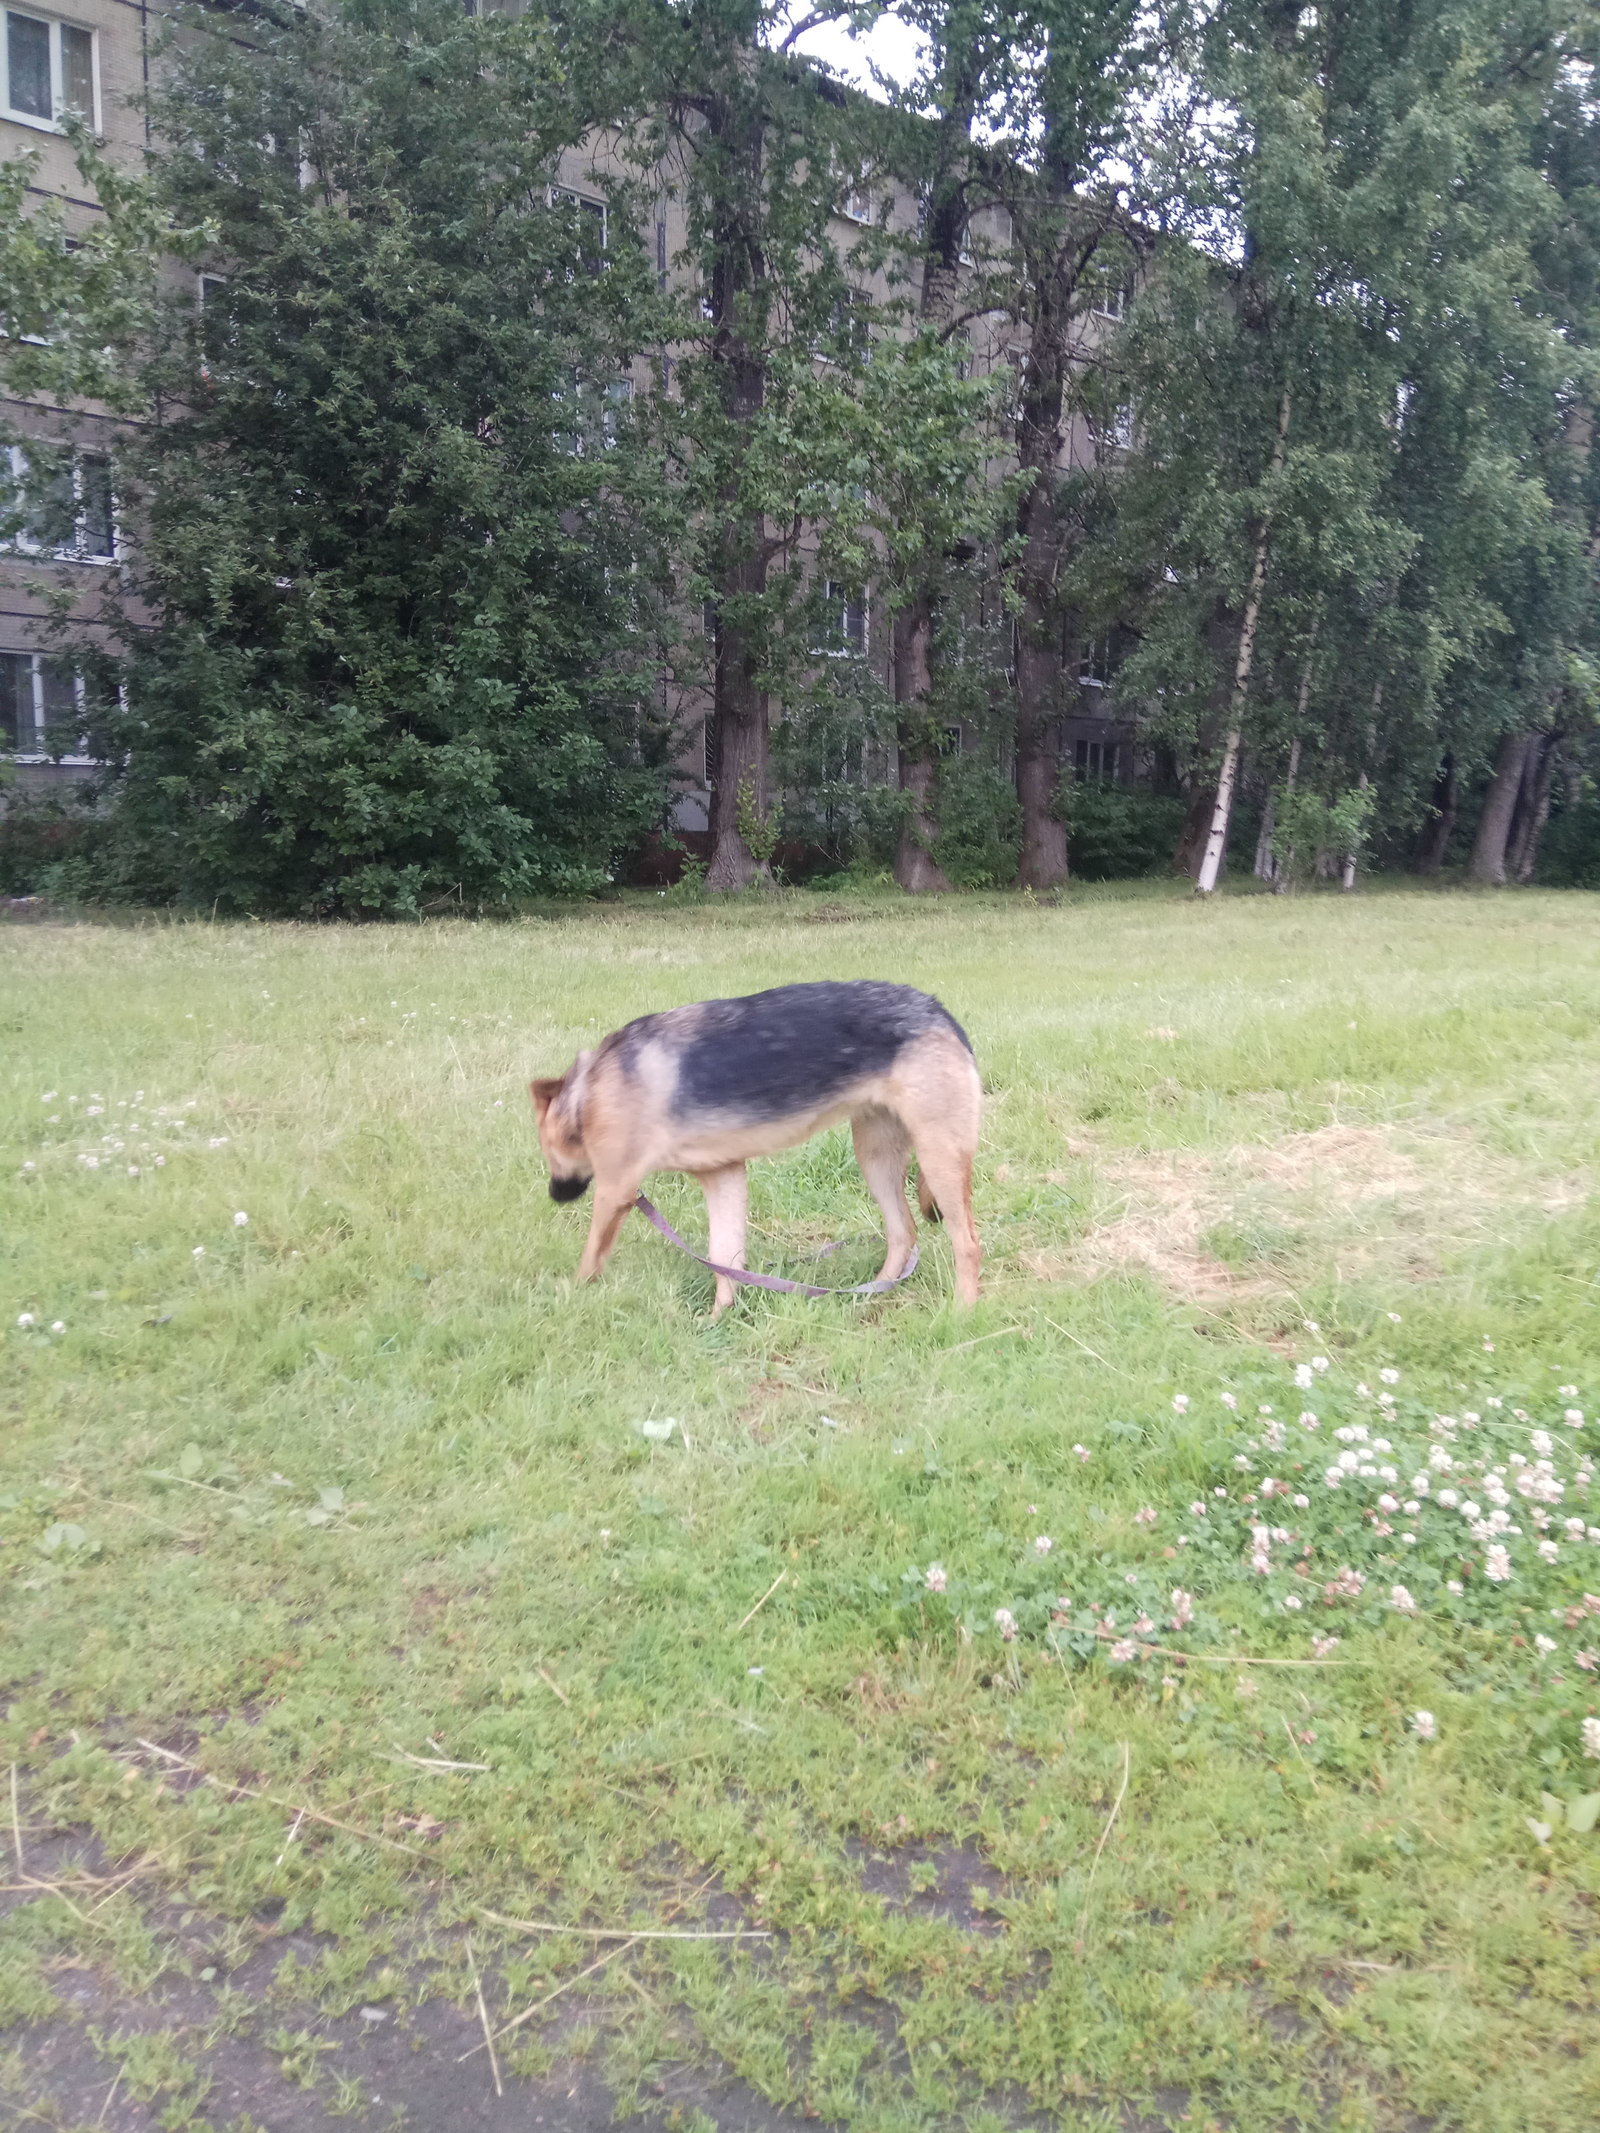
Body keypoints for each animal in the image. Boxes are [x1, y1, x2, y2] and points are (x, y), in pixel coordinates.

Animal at [533, 976, 985, 1305]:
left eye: (547, 1150)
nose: (554, 1196)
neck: (586, 1093)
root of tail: (937, 1009)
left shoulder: (615, 1190)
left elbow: (591, 1256)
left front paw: (572, 1297)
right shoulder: (724, 1175)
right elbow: (725, 1257)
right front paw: (718, 1320)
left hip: (938, 1157)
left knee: (967, 1242)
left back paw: (962, 1309)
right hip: (876, 1159)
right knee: (903, 1232)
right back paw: (873, 1292)